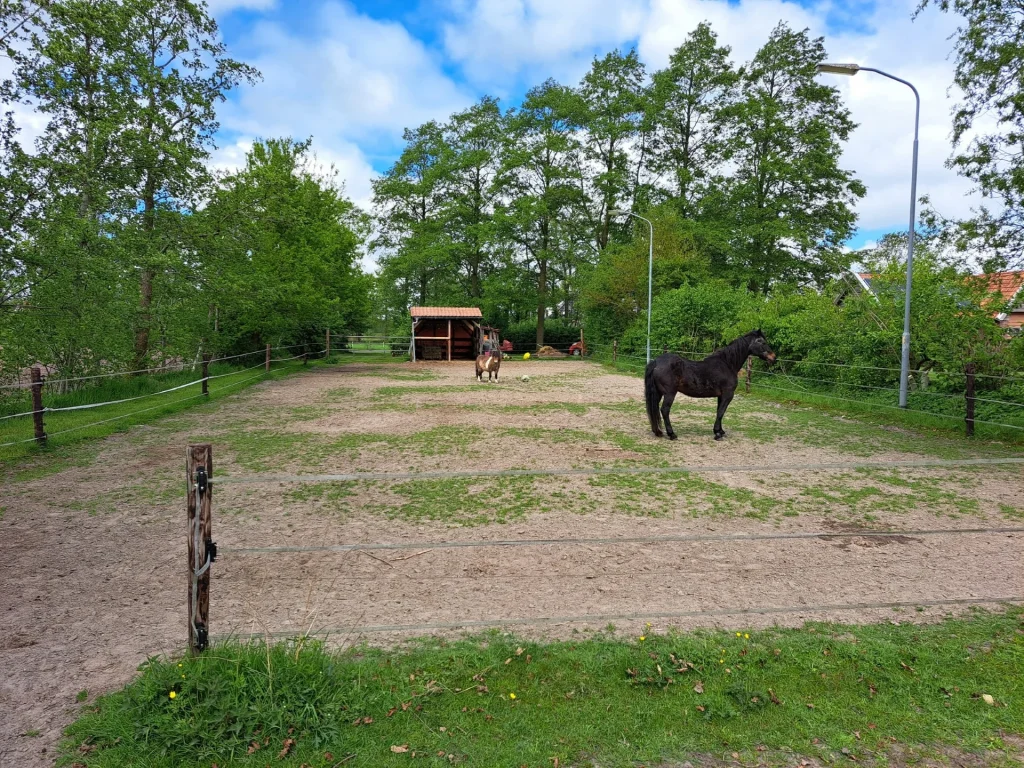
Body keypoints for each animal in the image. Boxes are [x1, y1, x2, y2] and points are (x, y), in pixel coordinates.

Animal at [644, 330, 776, 441]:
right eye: (762, 342)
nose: (773, 357)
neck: (727, 364)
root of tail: (656, 362)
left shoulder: (721, 396)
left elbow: (719, 411)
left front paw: (720, 431)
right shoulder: (728, 395)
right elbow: (721, 412)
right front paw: (717, 434)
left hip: (658, 393)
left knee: (655, 409)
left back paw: (658, 432)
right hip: (670, 393)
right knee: (665, 410)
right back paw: (672, 434)